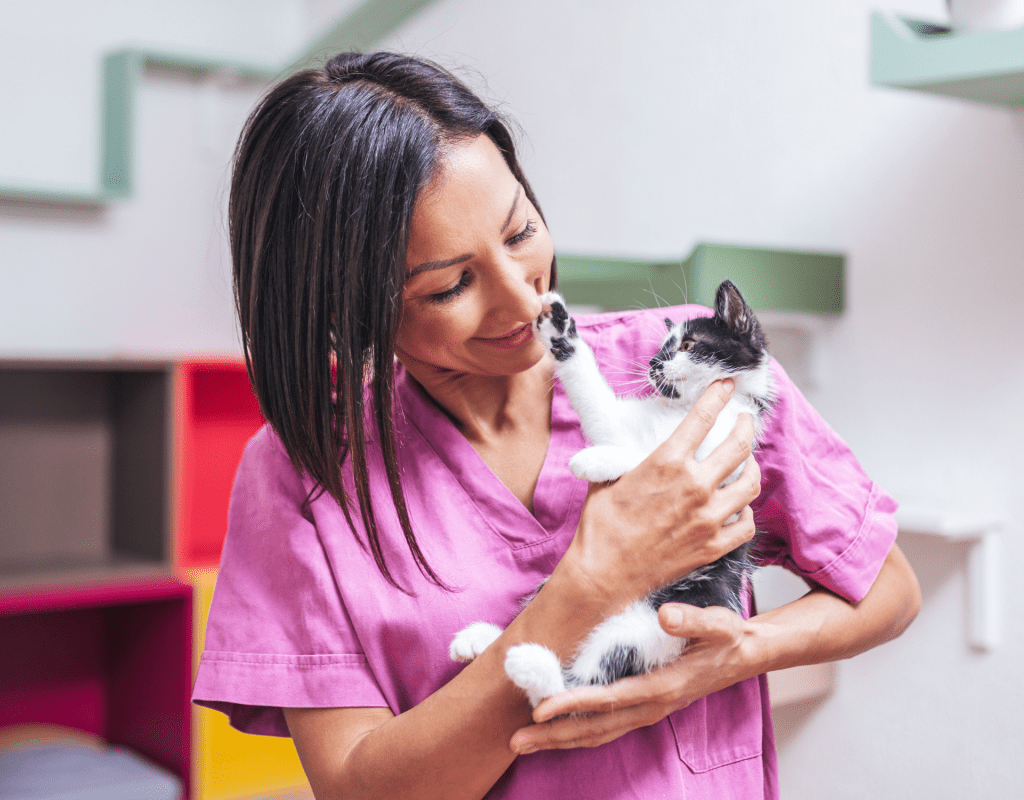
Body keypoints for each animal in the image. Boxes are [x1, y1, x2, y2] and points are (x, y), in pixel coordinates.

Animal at [450, 278, 774, 704]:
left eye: (688, 344)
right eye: (662, 347)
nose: (652, 364)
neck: (687, 410)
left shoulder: (724, 462)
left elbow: (652, 459)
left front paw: (598, 458)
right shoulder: (625, 425)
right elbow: (603, 413)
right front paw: (557, 327)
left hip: (661, 623)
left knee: (576, 686)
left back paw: (529, 665)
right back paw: (484, 641)